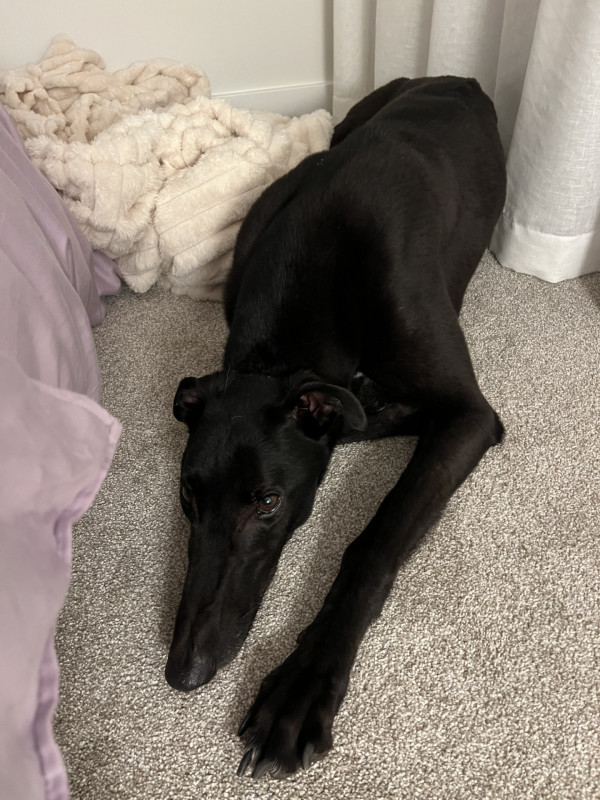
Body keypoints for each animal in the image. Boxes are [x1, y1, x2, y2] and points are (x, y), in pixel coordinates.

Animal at [165, 76, 507, 778]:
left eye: (268, 502)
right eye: (187, 496)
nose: (183, 672)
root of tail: (457, 78)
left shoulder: (468, 414)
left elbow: (371, 544)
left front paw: (301, 688)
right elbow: (358, 416)